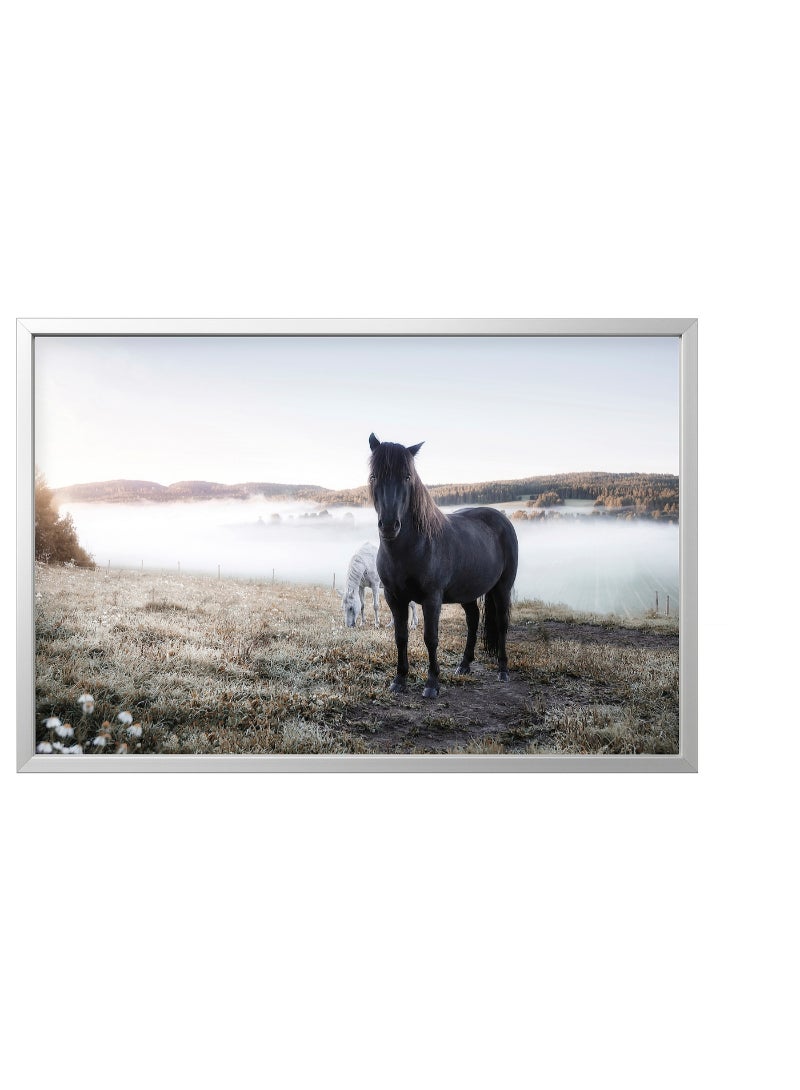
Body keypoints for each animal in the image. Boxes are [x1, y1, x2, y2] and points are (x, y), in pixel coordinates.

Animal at [368, 433, 519, 698]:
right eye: (374, 476)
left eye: (407, 477)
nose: (388, 525)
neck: (413, 547)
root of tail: (502, 519)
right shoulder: (393, 597)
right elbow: (401, 636)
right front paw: (399, 679)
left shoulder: (432, 598)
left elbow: (431, 638)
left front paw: (432, 684)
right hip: (468, 591)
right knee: (472, 620)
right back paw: (464, 665)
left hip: (502, 588)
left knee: (501, 624)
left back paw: (503, 670)